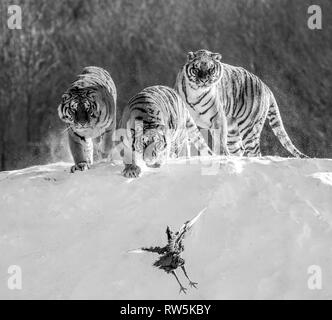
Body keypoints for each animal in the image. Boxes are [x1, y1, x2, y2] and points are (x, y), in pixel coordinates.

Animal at [175, 48, 308, 158]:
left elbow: (219, 142)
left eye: (211, 69)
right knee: (239, 149)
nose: (203, 80)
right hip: (233, 131)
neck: (195, 93)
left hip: (249, 128)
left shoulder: (218, 118)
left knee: (254, 152)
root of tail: (266, 87)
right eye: (196, 68)